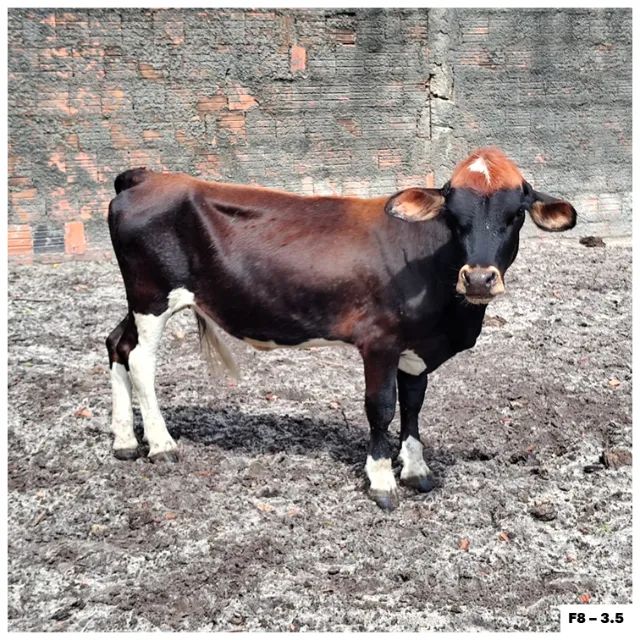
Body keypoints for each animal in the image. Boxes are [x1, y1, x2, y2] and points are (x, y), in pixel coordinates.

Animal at [106, 147, 576, 510]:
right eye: (453, 214)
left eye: (515, 214)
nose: (478, 278)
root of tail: (146, 176)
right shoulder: (379, 341)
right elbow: (381, 407)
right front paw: (382, 480)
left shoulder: (416, 347)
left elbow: (414, 404)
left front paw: (416, 470)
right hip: (152, 296)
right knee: (141, 359)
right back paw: (162, 444)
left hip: (138, 300)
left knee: (116, 344)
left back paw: (125, 441)